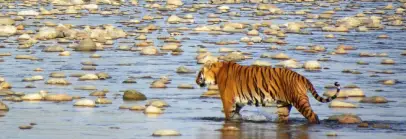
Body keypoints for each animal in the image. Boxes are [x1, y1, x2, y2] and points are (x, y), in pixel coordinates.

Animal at [195, 60, 340, 124]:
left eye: (199, 73)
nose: (196, 81)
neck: (217, 72)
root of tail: (302, 77)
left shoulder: (228, 100)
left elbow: (228, 115)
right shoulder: (238, 103)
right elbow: (236, 115)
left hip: (300, 101)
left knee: (313, 116)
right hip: (283, 105)